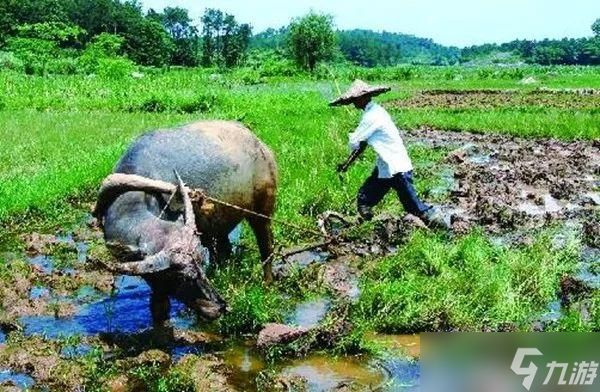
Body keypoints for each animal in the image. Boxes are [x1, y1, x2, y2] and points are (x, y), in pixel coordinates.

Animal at [94, 121, 278, 326]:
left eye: (200, 263)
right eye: (179, 276)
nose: (219, 307)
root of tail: (258, 142)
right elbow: (158, 301)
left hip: (262, 211)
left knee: (266, 245)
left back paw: (268, 283)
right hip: (217, 226)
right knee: (224, 252)